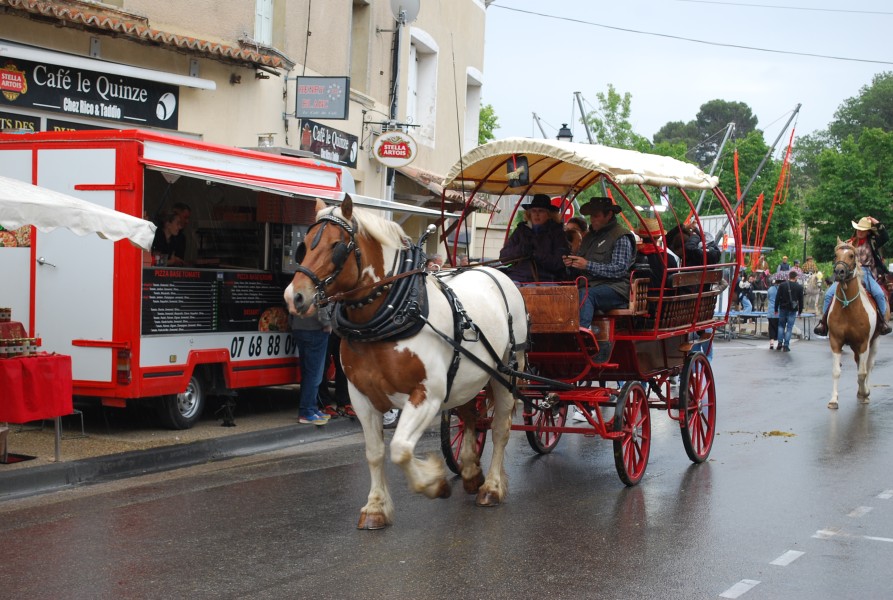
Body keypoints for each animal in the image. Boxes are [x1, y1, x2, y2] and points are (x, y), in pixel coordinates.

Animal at [282, 198, 528, 528]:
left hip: (506, 374)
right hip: (468, 377)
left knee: (501, 429)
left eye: (337, 246)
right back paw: (470, 471)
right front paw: (375, 507)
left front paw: (434, 483)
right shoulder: (361, 396)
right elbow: (375, 452)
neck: (394, 313)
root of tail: (495, 273)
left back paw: (491, 487)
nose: (294, 297)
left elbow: (400, 449)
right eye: (305, 244)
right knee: (471, 417)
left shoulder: (427, 395)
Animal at [824, 241, 880, 410]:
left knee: (868, 366)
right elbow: (836, 371)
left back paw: (864, 391)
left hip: (874, 341)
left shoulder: (863, 343)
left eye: (851, 255)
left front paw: (864, 393)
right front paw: (833, 400)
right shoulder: (835, 341)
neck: (848, 306)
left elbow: (862, 372)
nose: (839, 272)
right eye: (835, 255)